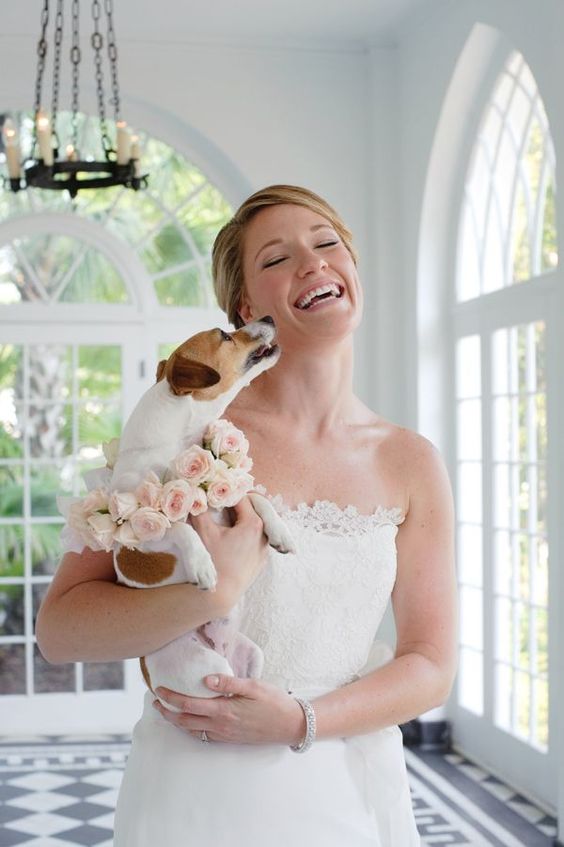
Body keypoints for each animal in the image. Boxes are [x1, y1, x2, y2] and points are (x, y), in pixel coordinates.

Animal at [108, 314, 298, 704]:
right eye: (225, 335)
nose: (268, 317)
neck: (179, 443)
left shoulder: (230, 497)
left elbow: (256, 497)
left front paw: (280, 531)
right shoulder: (139, 531)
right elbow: (180, 527)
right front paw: (203, 565)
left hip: (251, 654)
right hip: (204, 667)